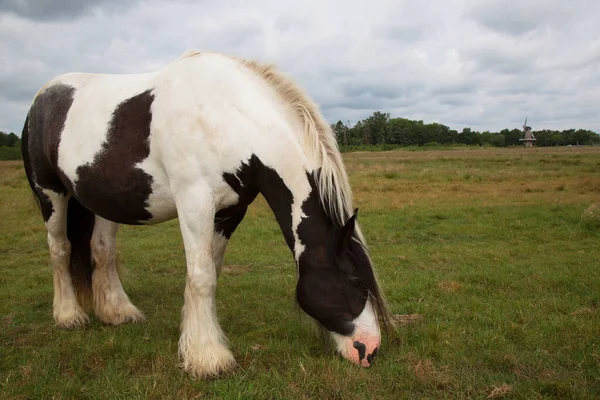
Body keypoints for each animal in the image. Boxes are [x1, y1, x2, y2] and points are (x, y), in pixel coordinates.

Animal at [19, 50, 394, 378]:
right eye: (355, 280)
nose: (370, 350)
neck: (224, 117)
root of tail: (42, 99)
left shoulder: (229, 212)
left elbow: (210, 272)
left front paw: (197, 340)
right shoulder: (195, 203)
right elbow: (201, 278)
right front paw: (208, 359)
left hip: (103, 204)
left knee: (102, 251)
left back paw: (117, 312)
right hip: (50, 194)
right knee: (60, 249)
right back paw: (69, 315)